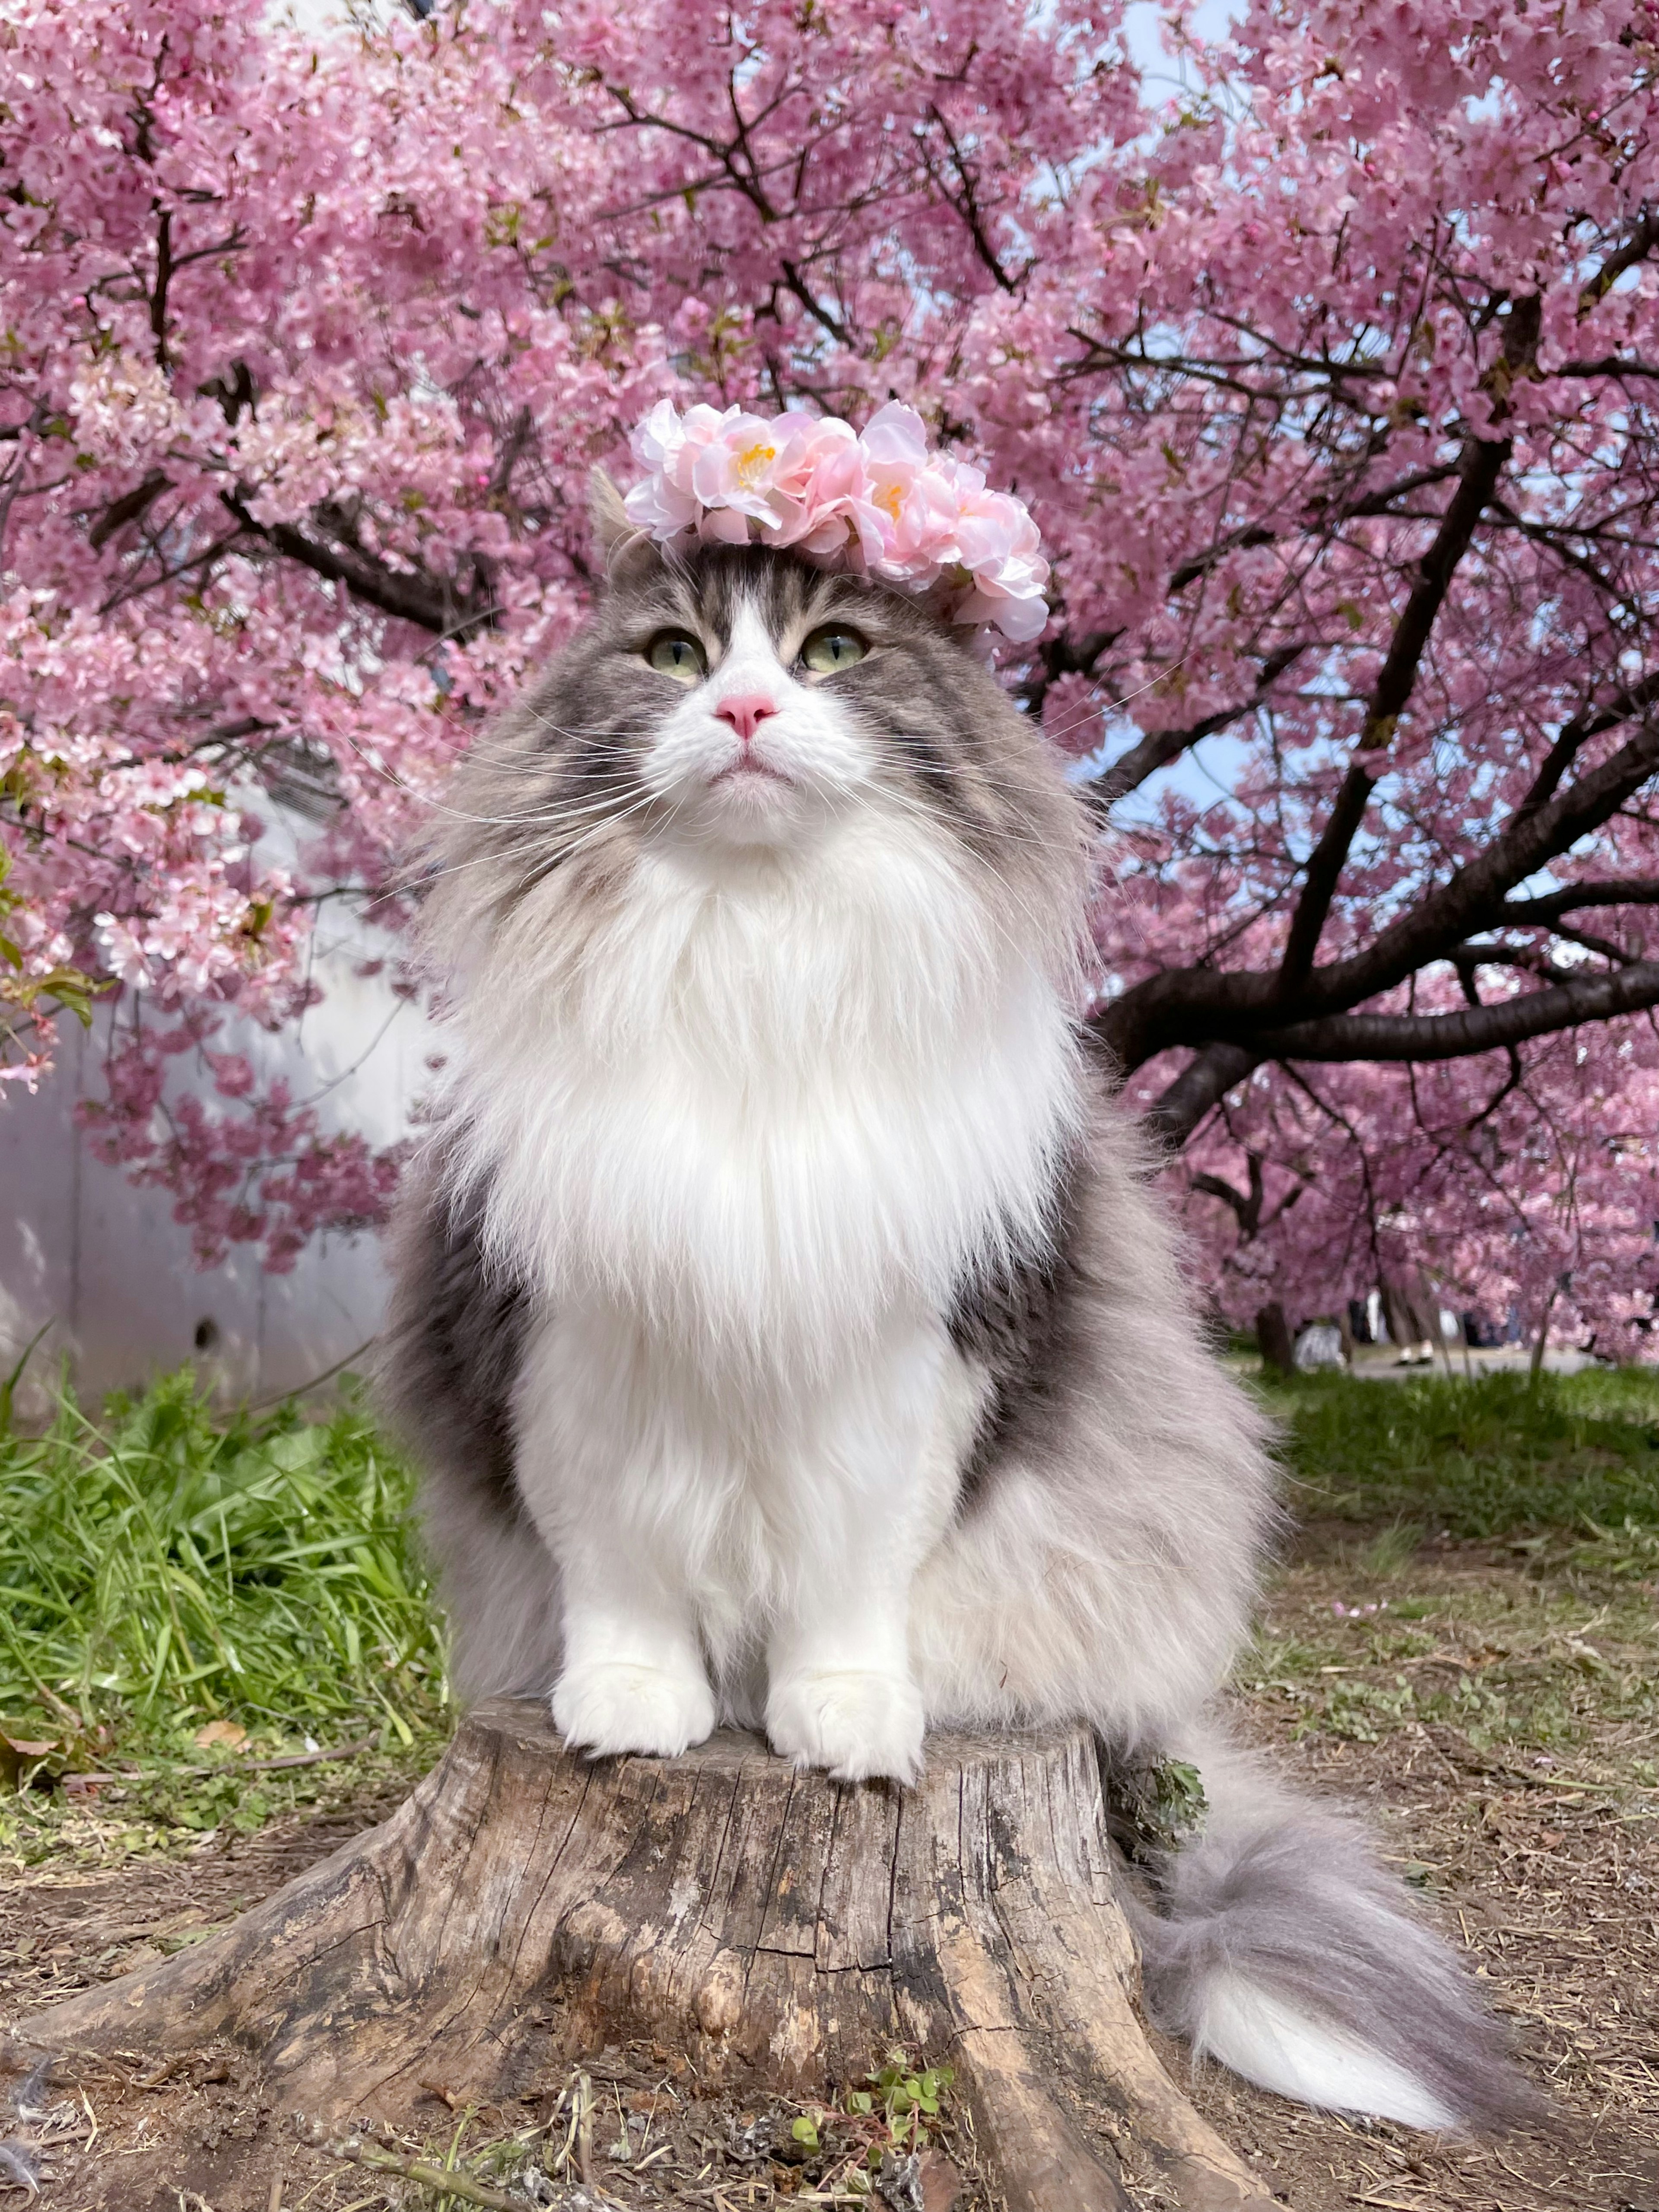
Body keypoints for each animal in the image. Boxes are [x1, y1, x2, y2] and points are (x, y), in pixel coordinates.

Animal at [380, 471, 1531, 2141]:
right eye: (670, 654)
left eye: (833, 648)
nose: (742, 705)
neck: (754, 955)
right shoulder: (572, 1346)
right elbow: (622, 1567)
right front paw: (632, 1708)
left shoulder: (923, 1362)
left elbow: (853, 1575)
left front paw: (846, 1724)